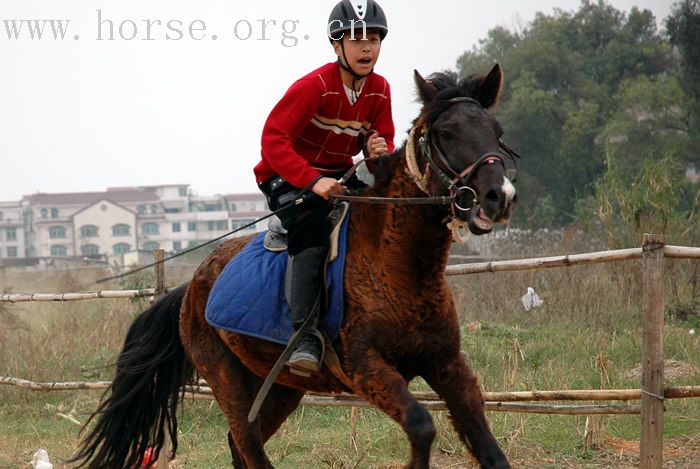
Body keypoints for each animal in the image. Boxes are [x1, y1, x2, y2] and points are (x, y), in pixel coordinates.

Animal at [72, 63, 516, 468]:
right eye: (446, 133)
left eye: (497, 131)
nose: (499, 197)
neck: (401, 268)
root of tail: (192, 287)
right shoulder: (367, 370)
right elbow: (422, 425)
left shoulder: (447, 364)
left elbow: (488, 446)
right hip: (229, 381)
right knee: (247, 443)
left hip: (281, 385)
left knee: (241, 446)